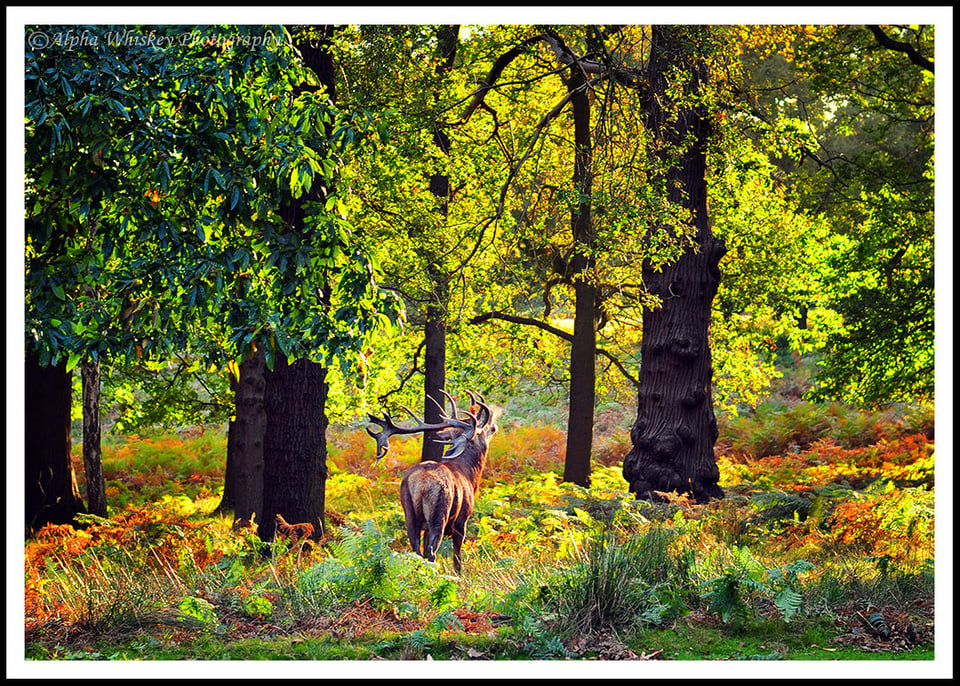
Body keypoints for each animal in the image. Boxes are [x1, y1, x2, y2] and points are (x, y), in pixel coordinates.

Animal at [368, 392, 498, 576]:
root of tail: (421, 483)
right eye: (486, 428)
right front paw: (459, 575)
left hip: (409, 510)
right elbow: (457, 554)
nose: (493, 423)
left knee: (416, 548)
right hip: (439, 512)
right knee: (431, 550)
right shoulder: (463, 519)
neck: (470, 475)